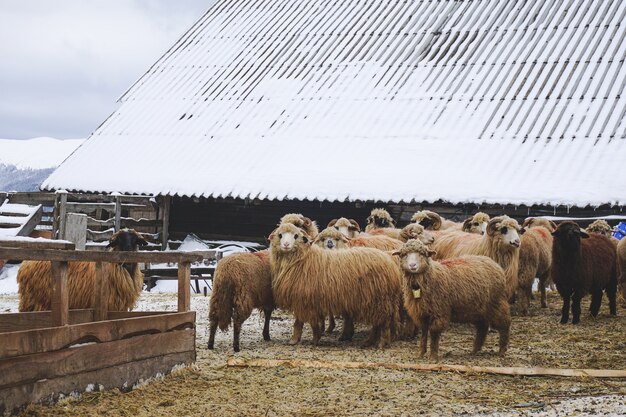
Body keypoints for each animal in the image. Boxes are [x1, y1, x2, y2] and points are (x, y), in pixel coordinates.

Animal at [268, 224, 400, 348]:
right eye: (280, 235)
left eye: (296, 236)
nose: (286, 245)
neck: (303, 259)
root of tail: (390, 263)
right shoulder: (306, 300)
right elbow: (306, 322)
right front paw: (307, 338)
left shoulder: (304, 300)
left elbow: (305, 323)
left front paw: (305, 339)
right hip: (377, 302)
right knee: (377, 324)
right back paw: (370, 342)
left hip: (379, 301)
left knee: (383, 323)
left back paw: (381, 343)